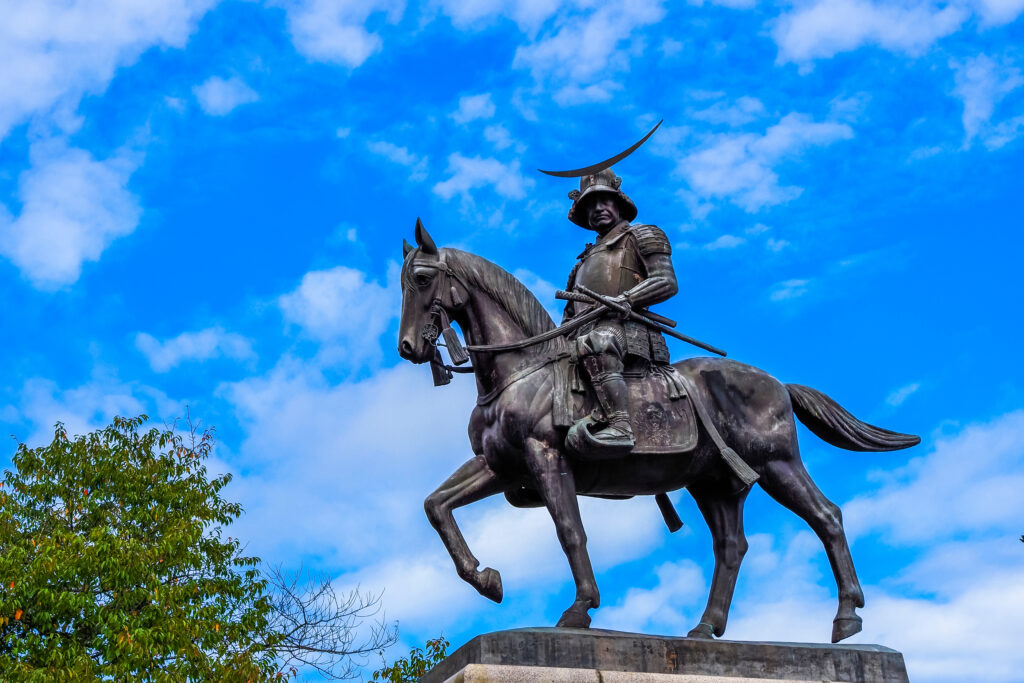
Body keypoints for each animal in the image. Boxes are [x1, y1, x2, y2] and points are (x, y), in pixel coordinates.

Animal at [397, 222, 921, 643]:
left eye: (422, 279)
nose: (407, 347)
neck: (520, 370)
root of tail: (777, 384)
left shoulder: (545, 457)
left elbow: (570, 531)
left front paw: (580, 608)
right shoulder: (500, 466)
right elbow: (436, 505)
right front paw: (486, 579)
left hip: (777, 464)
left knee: (827, 517)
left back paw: (847, 616)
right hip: (714, 483)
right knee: (731, 547)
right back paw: (707, 627)